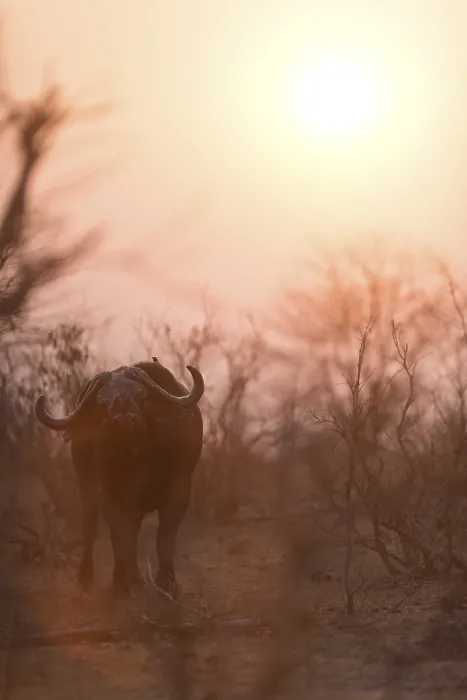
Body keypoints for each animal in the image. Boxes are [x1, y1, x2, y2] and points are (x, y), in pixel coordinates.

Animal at [35, 357, 204, 597]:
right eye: (103, 403)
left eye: (141, 397)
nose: (124, 421)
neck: (138, 462)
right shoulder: (110, 495)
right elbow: (120, 539)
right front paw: (120, 584)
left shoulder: (180, 489)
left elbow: (165, 538)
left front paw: (167, 581)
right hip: (85, 481)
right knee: (91, 528)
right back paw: (87, 578)